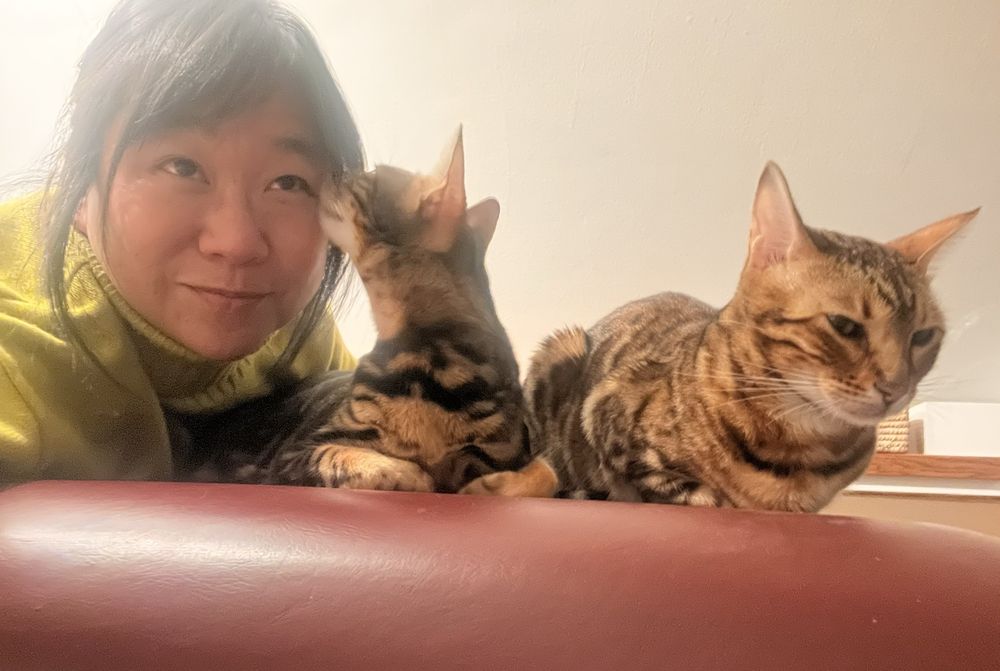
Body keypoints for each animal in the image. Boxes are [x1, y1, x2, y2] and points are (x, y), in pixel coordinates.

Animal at [174, 131, 557, 496]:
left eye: (368, 177)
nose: (333, 172)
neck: (430, 359)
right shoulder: (293, 453)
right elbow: (345, 454)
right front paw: (407, 472)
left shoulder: (512, 451)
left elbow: (547, 472)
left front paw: (486, 485)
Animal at [521, 162, 976, 512]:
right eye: (844, 325)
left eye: (924, 336)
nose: (897, 390)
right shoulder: (607, 412)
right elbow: (685, 491)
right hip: (561, 350)